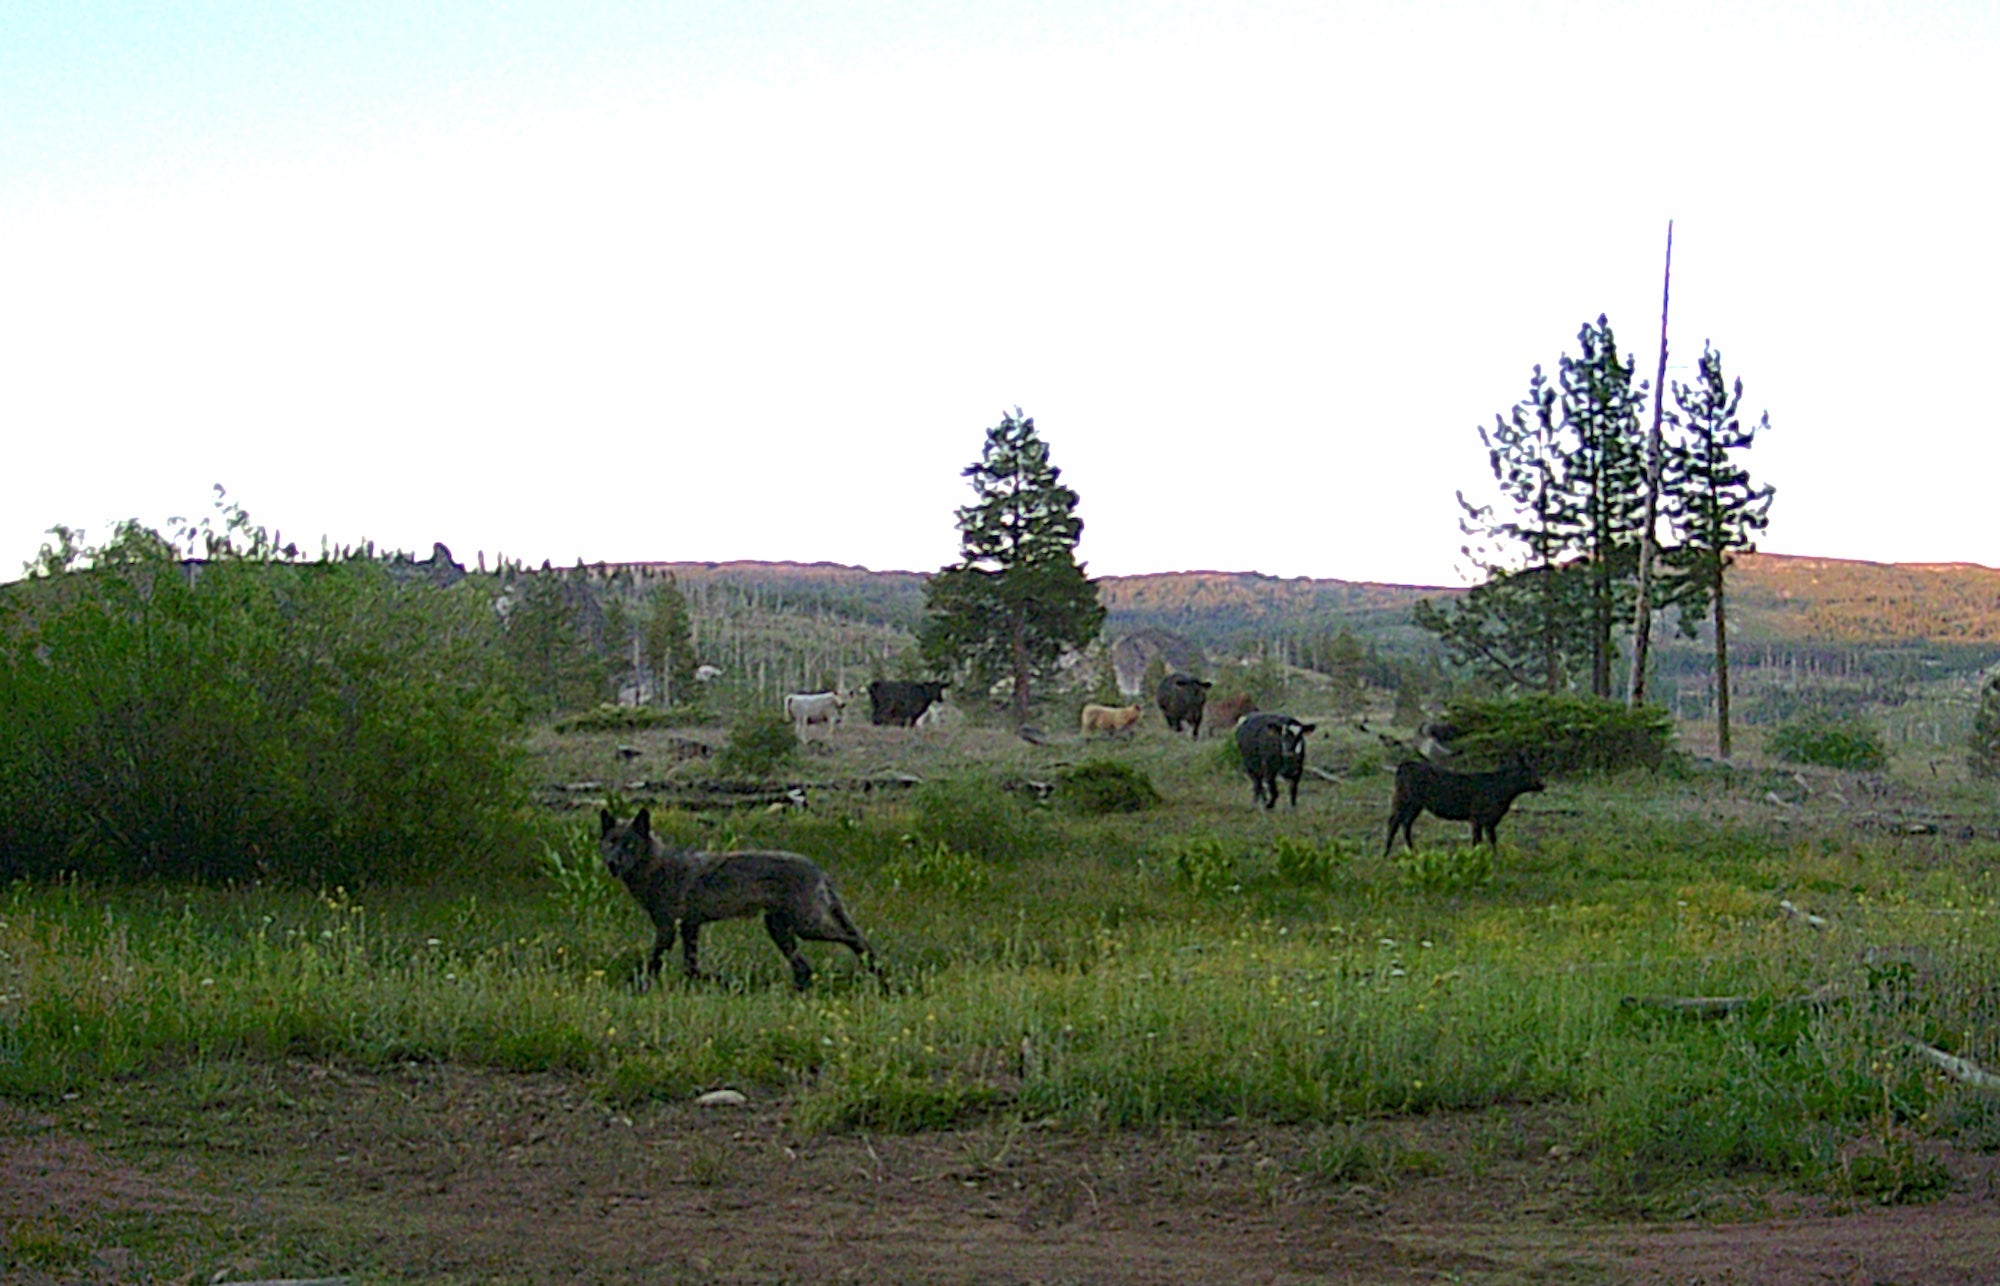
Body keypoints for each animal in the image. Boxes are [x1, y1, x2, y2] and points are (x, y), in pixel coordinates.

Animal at [599, 808, 877, 990]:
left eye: (629, 845)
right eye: (610, 844)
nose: (613, 863)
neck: (656, 868)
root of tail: (818, 868)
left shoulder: (667, 929)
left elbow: (654, 963)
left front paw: (639, 986)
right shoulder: (690, 927)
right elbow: (691, 967)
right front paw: (712, 981)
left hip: (807, 927)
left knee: (856, 940)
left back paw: (877, 975)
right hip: (781, 930)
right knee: (804, 966)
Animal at [1384, 758, 1544, 854]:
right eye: (1529, 773)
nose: (1543, 784)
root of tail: (1407, 764)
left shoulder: (1485, 820)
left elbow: (1486, 839)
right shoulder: (1480, 818)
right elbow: (1481, 840)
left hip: (1413, 805)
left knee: (1405, 824)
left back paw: (1411, 850)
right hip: (1406, 801)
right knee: (1394, 823)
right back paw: (1387, 852)